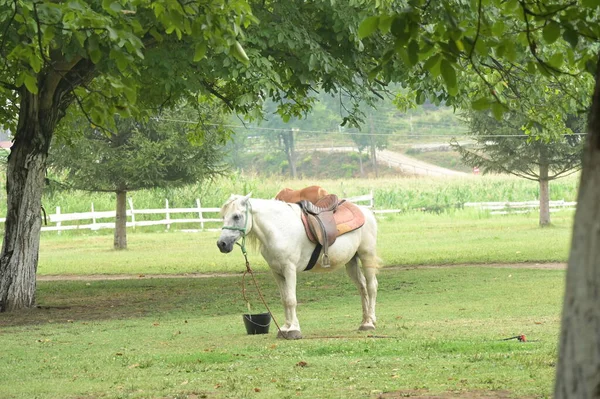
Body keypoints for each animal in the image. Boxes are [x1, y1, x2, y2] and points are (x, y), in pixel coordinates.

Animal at [218, 195, 382, 340]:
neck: (280, 228)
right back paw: (365, 320)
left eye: (236, 216)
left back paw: (369, 323)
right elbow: (284, 300)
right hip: (351, 262)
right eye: (223, 216)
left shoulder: (289, 269)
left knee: (371, 286)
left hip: (366, 256)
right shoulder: (277, 272)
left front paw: (294, 330)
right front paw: (285, 328)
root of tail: (366, 211)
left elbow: (291, 299)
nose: (221, 244)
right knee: (362, 287)